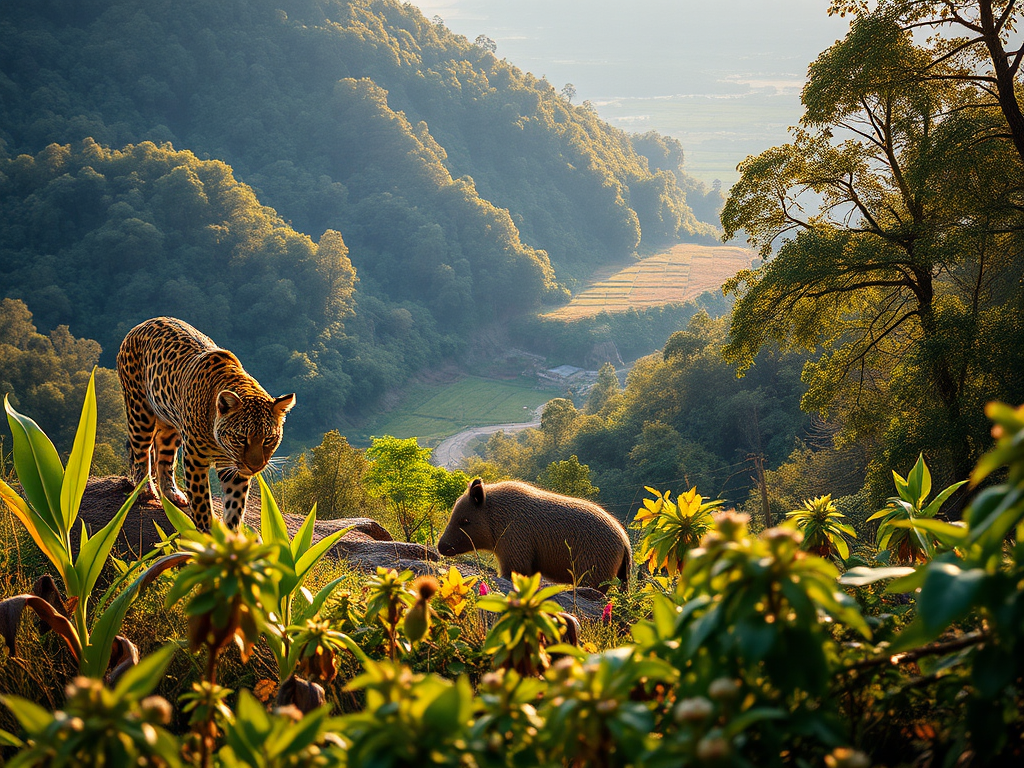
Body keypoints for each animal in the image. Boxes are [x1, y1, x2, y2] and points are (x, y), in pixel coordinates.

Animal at [120, 317, 299, 528]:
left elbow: (235, 505)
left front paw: (231, 532)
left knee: (164, 458)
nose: (255, 468)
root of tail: (144, 323)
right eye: (241, 438)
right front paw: (207, 530)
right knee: (140, 451)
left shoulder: (233, 467)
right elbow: (201, 502)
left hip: (170, 426)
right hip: (140, 411)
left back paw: (172, 494)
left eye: (269, 439)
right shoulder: (195, 459)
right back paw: (145, 490)